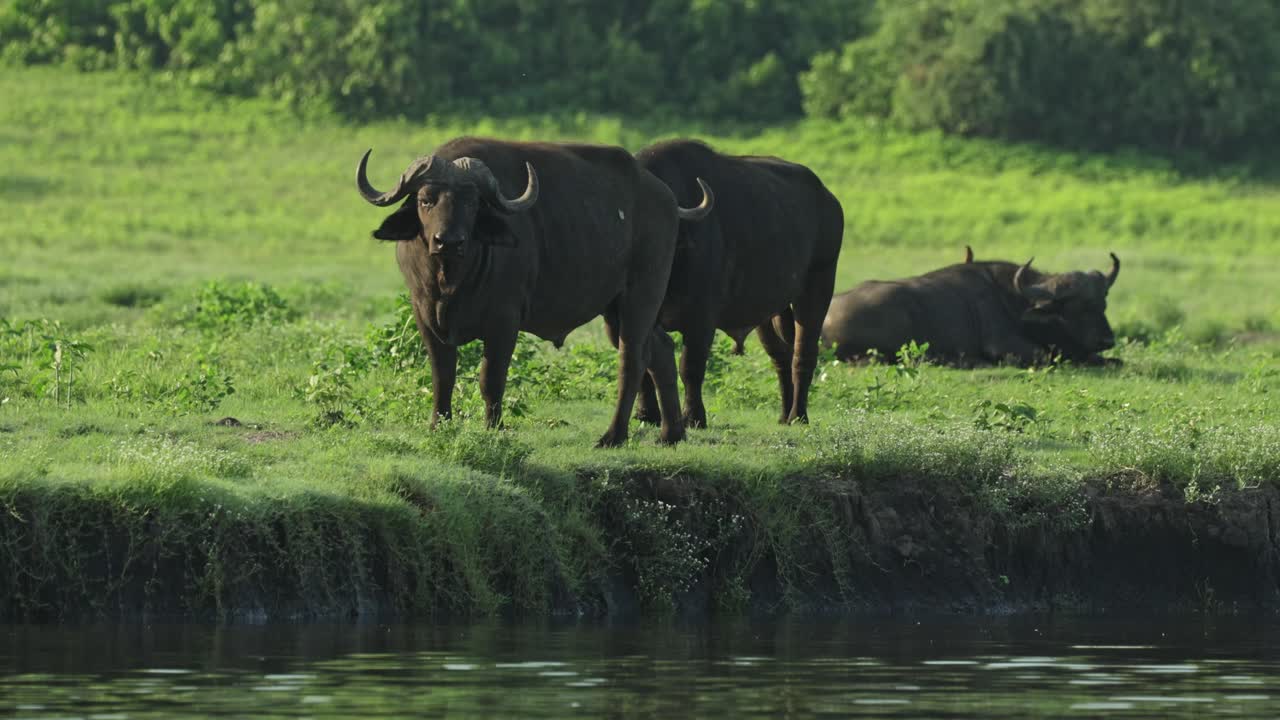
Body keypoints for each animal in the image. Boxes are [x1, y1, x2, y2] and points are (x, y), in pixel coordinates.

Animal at [355, 138, 712, 447]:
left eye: (471, 202)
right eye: (425, 199)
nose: (449, 241)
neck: (451, 280)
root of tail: (667, 198)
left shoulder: (504, 320)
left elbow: (490, 377)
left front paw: (493, 427)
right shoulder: (425, 315)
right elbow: (442, 376)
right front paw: (437, 426)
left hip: (641, 294)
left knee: (633, 359)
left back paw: (613, 436)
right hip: (616, 308)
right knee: (661, 350)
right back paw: (671, 434)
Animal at [622, 140, 844, 427]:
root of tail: (829, 200)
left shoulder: (702, 320)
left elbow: (690, 367)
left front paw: (694, 416)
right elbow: (644, 364)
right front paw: (647, 414)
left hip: (817, 287)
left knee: (802, 354)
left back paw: (799, 415)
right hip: (769, 311)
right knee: (780, 357)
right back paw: (784, 414)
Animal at [822, 253, 1122, 366]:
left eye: (1103, 304)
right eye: (1078, 307)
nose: (1107, 340)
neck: (1015, 300)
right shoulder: (1004, 345)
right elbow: (1047, 355)